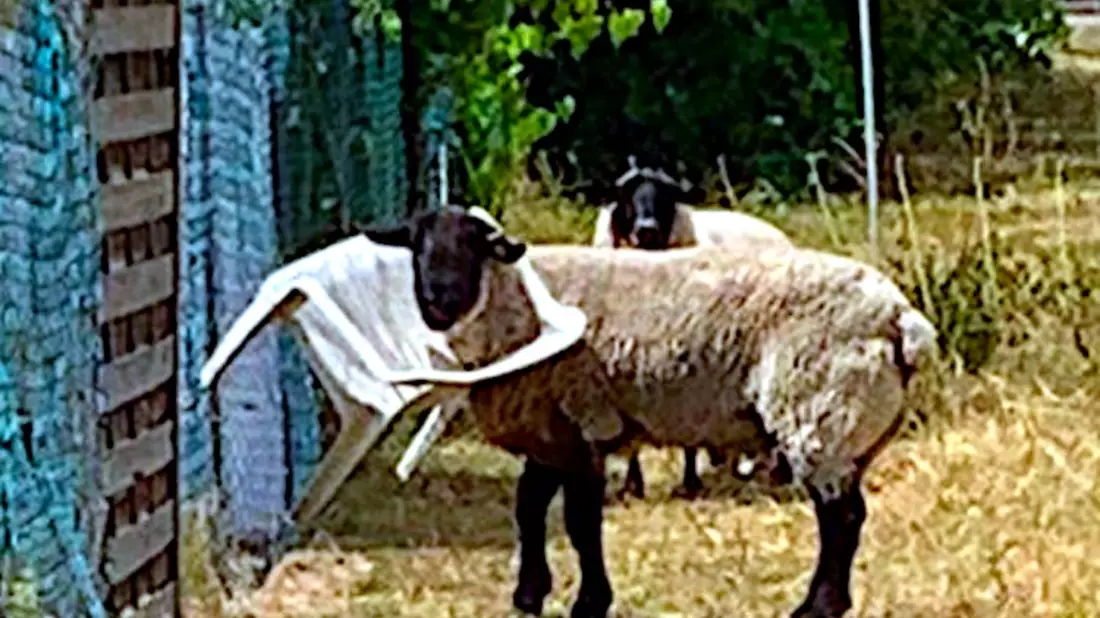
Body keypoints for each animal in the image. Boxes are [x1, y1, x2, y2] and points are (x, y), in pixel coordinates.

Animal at [364, 205, 938, 618]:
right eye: (417, 246)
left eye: (471, 246)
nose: (437, 301)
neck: (515, 305)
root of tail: (900, 317)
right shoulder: (550, 433)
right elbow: (529, 508)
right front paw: (529, 594)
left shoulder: (583, 423)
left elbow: (579, 521)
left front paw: (589, 602)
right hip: (850, 429)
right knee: (847, 517)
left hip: (819, 412)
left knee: (840, 518)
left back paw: (817, 607)